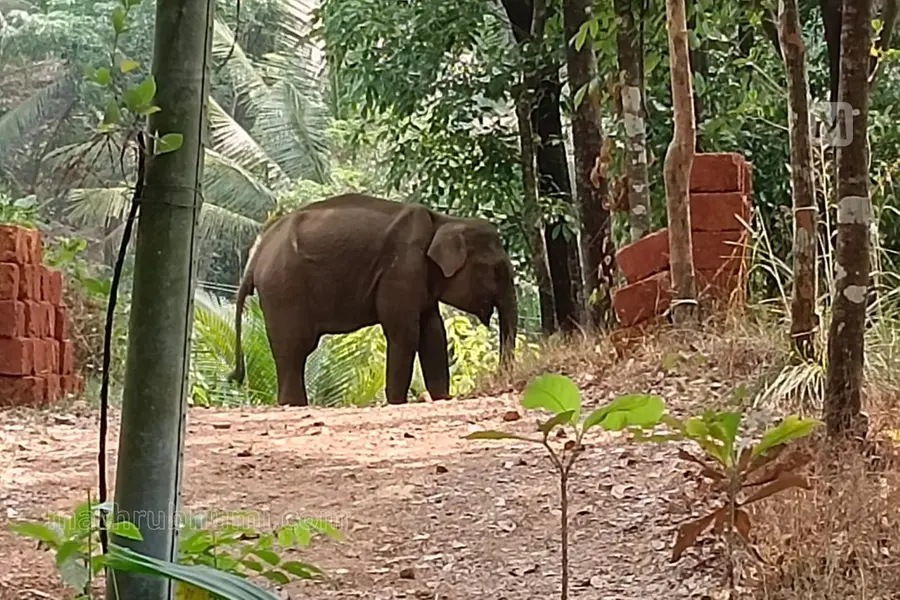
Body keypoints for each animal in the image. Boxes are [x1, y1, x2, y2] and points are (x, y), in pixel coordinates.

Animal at [228, 192, 518, 407]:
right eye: (497, 270)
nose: (502, 381)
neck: (444, 220)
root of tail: (257, 254)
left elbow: (433, 333)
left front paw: (442, 398)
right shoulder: (402, 268)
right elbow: (405, 333)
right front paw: (397, 402)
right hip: (284, 289)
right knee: (294, 348)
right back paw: (294, 405)